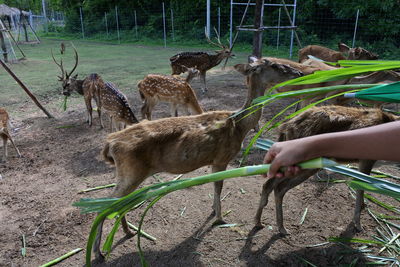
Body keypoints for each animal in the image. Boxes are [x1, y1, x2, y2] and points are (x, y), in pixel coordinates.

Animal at [91, 57, 304, 262]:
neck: (239, 125)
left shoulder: (213, 160)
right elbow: (218, 187)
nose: (299, 73)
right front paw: (219, 218)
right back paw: (98, 252)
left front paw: (213, 210)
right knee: (104, 205)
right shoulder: (222, 157)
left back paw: (128, 232)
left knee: (117, 203)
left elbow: (213, 186)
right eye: (275, 65)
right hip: (132, 171)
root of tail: (110, 143)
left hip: (127, 173)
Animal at [255, 105, 398, 236]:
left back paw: (263, 223)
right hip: (303, 163)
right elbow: (360, 188)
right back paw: (276, 226)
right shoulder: (366, 159)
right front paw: (358, 225)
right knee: (275, 186)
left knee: (274, 186)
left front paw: (363, 208)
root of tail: (285, 127)